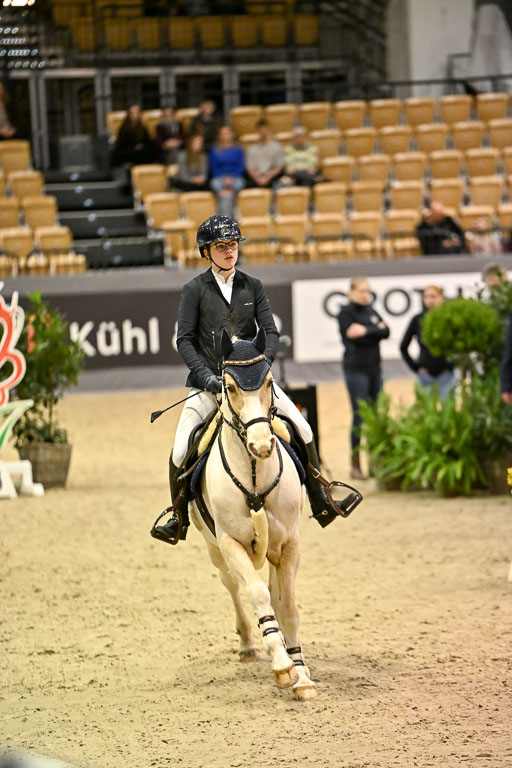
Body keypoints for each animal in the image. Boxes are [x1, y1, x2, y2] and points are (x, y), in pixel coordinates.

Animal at [188, 327, 318, 700]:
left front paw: (302, 675)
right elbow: (258, 594)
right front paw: (283, 667)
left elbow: (287, 605)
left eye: (270, 381)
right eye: (229, 387)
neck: (255, 475)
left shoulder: (289, 544)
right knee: (233, 585)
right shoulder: (231, 543)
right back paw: (248, 643)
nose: (261, 446)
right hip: (214, 548)